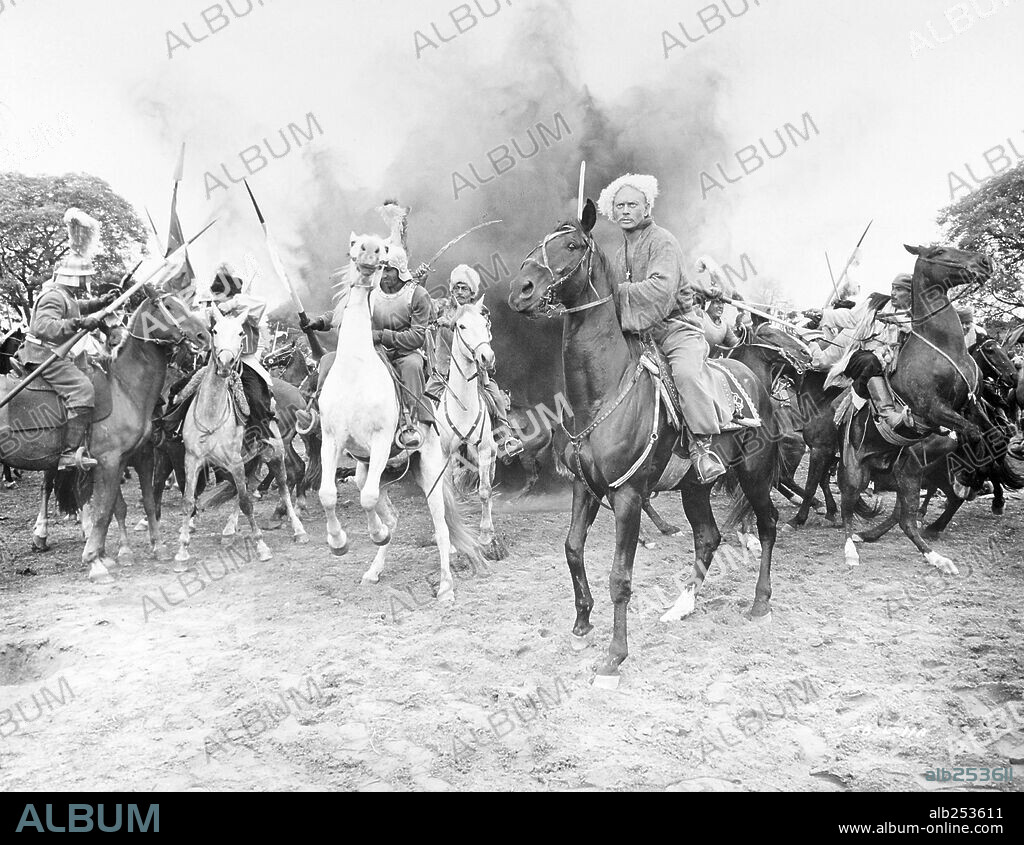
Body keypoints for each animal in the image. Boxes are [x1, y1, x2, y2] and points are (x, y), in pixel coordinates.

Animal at [174, 307, 307, 569]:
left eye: (240, 333)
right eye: (214, 330)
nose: (225, 364)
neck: (212, 414)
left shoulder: (234, 461)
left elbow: (246, 501)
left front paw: (261, 546)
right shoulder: (192, 460)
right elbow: (189, 501)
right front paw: (182, 551)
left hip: (276, 451)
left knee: (284, 482)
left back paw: (296, 527)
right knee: (249, 484)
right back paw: (229, 530)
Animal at [317, 232, 481, 598]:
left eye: (380, 249)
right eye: (354, 245)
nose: (368, 254)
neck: (356, 370)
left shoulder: (380, 442)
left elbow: (366, 499)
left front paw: (374, 533)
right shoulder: (331, 441)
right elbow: (328, 495)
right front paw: (338, 542)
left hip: (430, 472)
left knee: (441, 527)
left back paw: (445, 586)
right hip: (371, 469)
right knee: (383, 506)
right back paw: (374, 568)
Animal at [436, 299, 503, 557]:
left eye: (485, 324)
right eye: (461, 326)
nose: (487, 357)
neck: (463, 407)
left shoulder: (483, 449)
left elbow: (485, 491)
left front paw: (486, 537)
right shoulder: (447, 455)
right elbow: (450, 495)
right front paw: (454, 540)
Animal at [507, 204, 778, 684]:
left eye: (572, 245)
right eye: (539, 242)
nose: (521, 290)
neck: (601, 393)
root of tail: (753, 379)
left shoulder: (628, 496)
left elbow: (620, 576)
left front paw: (614, 656)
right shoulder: (584, 489)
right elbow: (572, 550)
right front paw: (582, 623)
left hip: (755, 474)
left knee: (767, 526)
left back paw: (760, 602)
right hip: (695, 487)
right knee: (708, 537)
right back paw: (681, 607)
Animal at [839, 243, 991, 573]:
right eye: (940, 251)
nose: (985, 261)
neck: (944, 346)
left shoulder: (970, 404)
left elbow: (982, 433)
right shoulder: (932, 408)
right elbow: (973, 433)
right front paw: (969, 477)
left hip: (907, 473)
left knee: (905, 519)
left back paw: (936, 558)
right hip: (856, 473)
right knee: (848, 509)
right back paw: (851, 548)